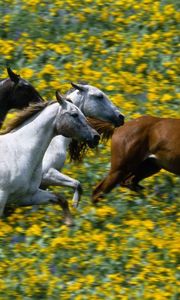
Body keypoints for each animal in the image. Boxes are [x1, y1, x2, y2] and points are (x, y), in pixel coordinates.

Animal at [0, 91, 99, 225]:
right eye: (74, 114)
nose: (96, 137)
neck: (19, 152)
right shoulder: (3, 197)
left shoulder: (27, 196)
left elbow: (60, 198)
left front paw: (70, 221)